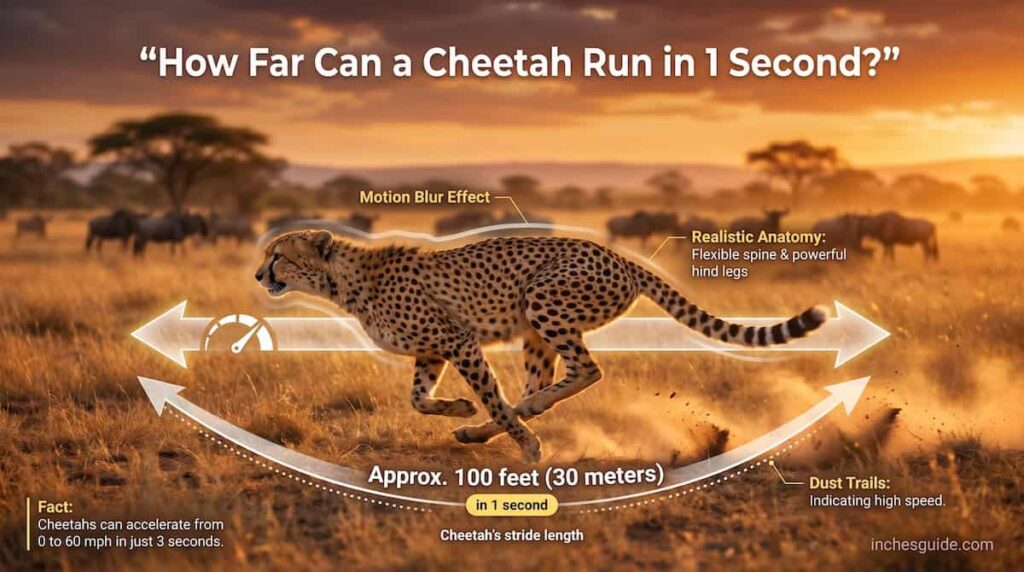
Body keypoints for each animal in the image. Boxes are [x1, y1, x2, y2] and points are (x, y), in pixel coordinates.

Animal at [255, 230, 827, 462]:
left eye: (279, 255)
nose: (259, 275)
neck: (345, 281)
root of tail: (618, 256)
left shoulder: (459, 340)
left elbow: (487, 394)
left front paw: (521, 442)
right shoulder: (432, 350)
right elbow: (419, 398)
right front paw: (461, 409)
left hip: (542, 301)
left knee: (586, 372)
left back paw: (520, 432)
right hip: (534, 331)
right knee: (542, 386)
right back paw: (487, 428)